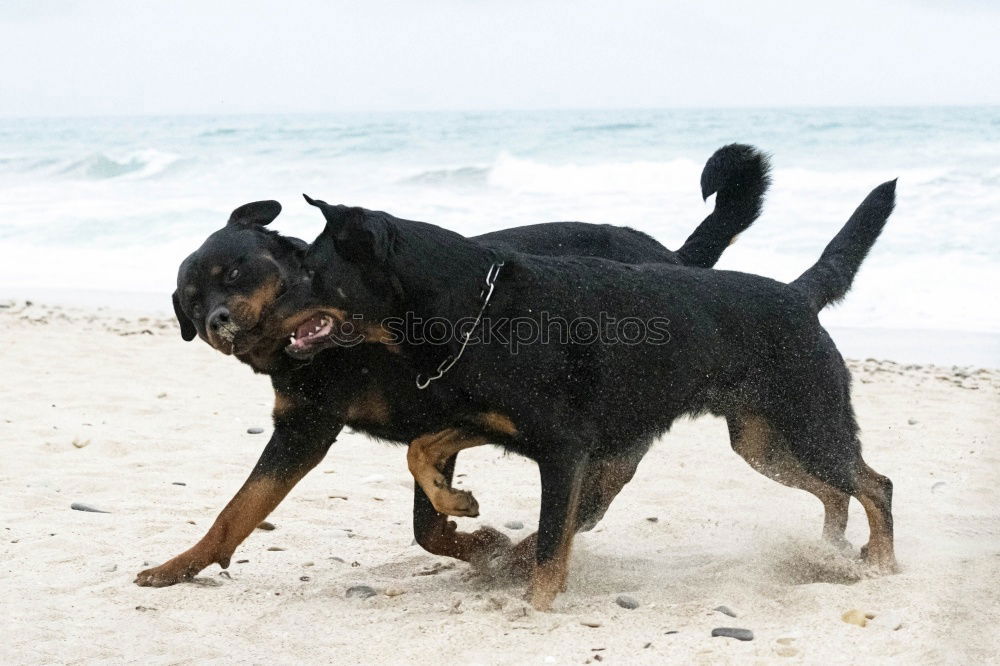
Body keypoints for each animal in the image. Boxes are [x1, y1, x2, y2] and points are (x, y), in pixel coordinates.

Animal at [137, 144, 768, 588]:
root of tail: (675, 259)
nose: (215, 321)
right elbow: (243, 508)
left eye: (234, 272)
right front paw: (181, 565)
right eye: (189, 300)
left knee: (606, 476)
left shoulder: (379, 420)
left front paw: (479, 541)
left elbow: (417, 520)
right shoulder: (307, 423)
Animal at [266, 179, 900, 608]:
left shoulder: (564, 451)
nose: (252, 320)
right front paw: (458, 503)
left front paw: (535, 607)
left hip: (808, 425)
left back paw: (882, 566)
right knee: (838, 492)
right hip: (764, 443)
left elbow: (551, 543)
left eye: (309, 273)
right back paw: (830, 553)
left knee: (875, 485)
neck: (476, 308)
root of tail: (798, 295)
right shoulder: (492, 422)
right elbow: (420, 451)